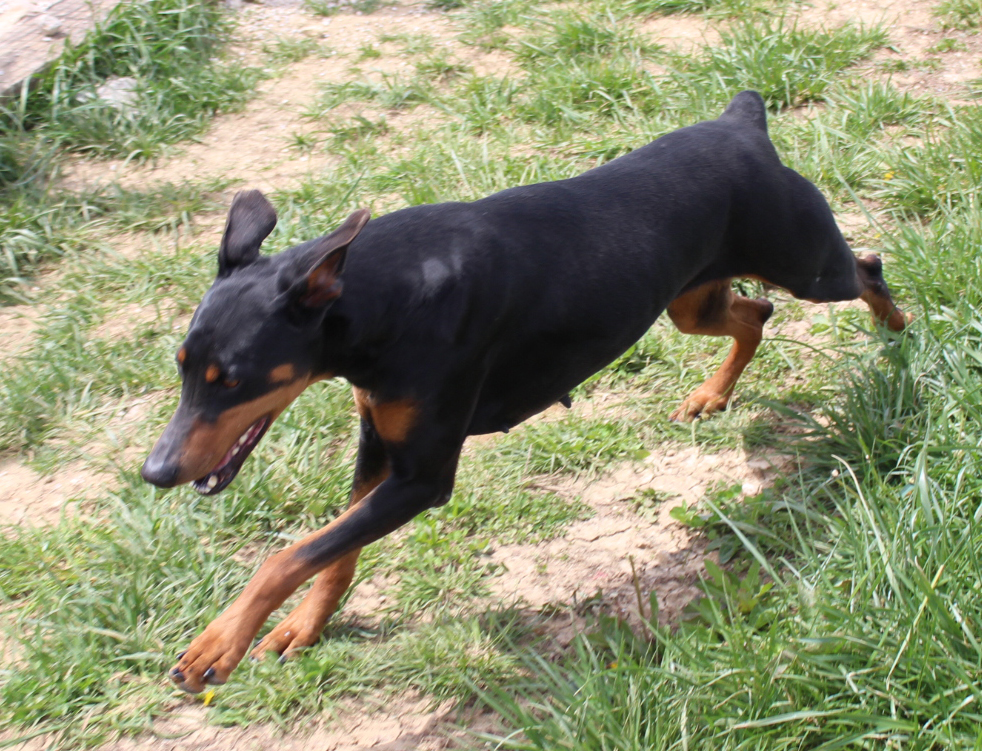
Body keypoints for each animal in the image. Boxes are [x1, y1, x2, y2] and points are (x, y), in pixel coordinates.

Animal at [142, 91, 908, 693]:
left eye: (231, 378)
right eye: (181, 366)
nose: (154, 471)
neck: (386, 293)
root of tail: (743, 123)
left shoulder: (423, 477)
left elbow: (289, 554)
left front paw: (215, 647)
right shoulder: (378, 438)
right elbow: (333, 551)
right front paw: (302, 626)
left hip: (806, 264)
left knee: (864, 267)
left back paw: (899, 335)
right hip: (689, 300)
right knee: (756, 314)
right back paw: (710, 395)